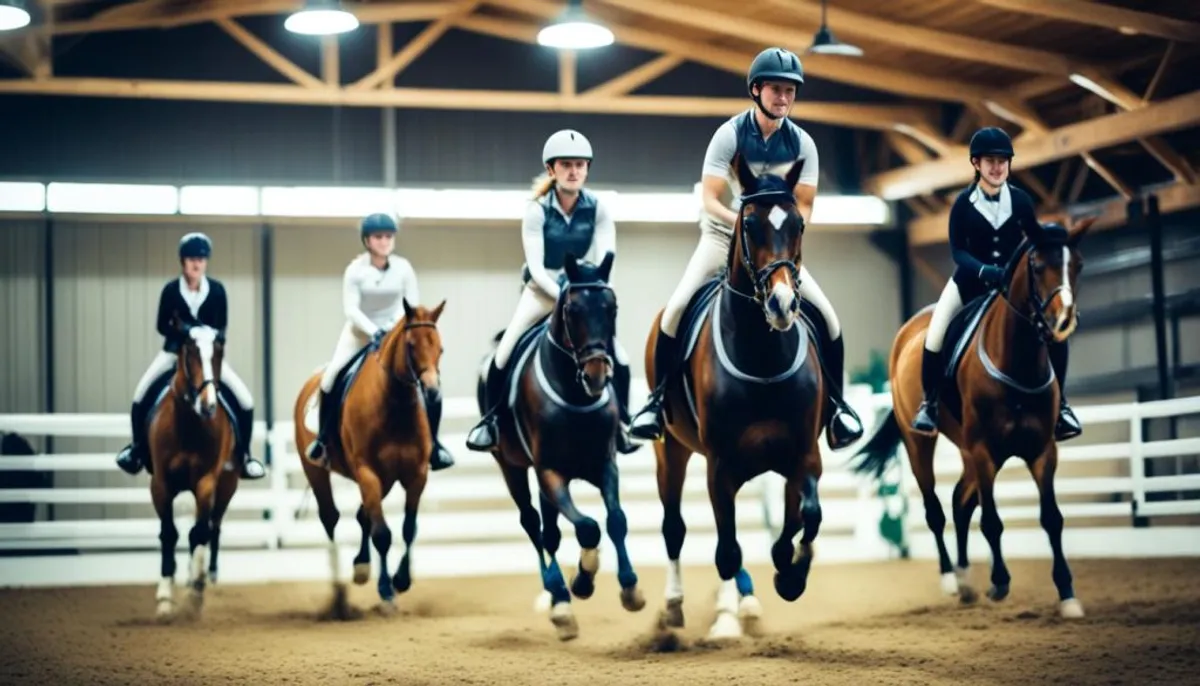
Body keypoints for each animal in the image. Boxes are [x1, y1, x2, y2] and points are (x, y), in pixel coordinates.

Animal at [146, 316, 237, 623]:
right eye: (191, 352)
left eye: (219, 352)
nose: (208, 405)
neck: (188, 425)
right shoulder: (161, 484)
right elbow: (169, 533)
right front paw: (164, 600)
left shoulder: (207, 482)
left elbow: (199, 533)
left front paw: (195, 593)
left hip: (227, 485)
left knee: (212, 528)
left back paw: (202, 578)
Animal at [292, 299, 448, 614]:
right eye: (411, 345)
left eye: (440, 348)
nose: (432, 392)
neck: (395, 405)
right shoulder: (368, 473)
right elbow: (383, 534)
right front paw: (387, 590)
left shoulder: (416, 475)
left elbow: (408, 529)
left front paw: (401, 580)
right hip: (318, 471)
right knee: (331, 517)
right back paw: (339, 593)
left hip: (384, 481)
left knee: (363, 515)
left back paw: (361, 567)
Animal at [477, 253, 648, 642]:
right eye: (572, 309)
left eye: (612, 307)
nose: (596, 375)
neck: (574, 395)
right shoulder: (550, 472)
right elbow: (587, 528)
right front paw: (582, 580)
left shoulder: (605, 464)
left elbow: (615, 520)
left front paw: (630, 588)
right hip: (510, 466)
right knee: (532, 524)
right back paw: (559, 597)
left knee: (550, 532)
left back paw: (561, 601)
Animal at [648, 152, 835, 642]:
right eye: (749, 224)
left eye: (798, 224)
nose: (782, 305)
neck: (762, 356)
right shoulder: (720, 464)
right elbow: (727, 550)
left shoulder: (803, 454)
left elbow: (806, 516)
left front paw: (790, 575)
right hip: (671, 452)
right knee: (674, 528)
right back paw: (673, 608)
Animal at [844, 217, 1099, 618]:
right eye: (1038, 265)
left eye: (1078, 265)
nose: (1063, 320)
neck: (1017, 360)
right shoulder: (983, 451)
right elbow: (992, 522)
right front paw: (1000, 582)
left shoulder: (1043, 451)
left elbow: (1052, 518)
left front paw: (1067, 594)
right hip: (921, 444)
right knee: (936, 509)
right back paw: (951, 578)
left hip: (967, 450)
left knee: (960, 502)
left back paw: (965, 581)